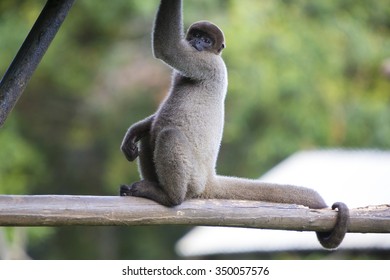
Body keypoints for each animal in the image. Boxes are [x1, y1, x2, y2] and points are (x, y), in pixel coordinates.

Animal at [120, 0, 348, 249]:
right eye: (196, 35)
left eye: (206, 40)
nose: (197, 43)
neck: (211, 55)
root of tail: (208, 178)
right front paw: (133, 132)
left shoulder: (208, 63)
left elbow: (167, 48)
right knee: (152, 134)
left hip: (193, 178)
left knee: (168, 135)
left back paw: (169, 197)